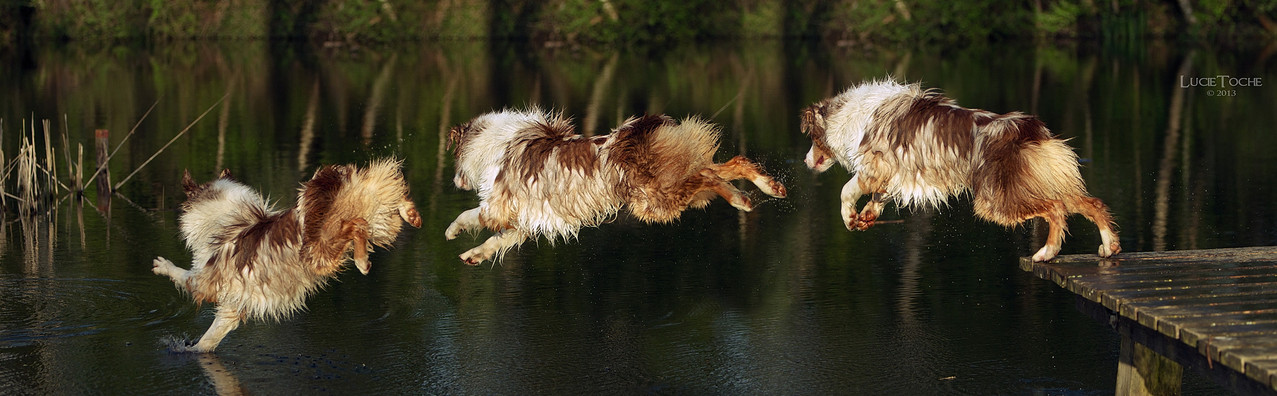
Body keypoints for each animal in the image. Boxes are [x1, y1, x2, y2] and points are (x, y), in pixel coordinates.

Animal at [149, 157, 418, 352]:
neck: (227, 220)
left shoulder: (206, 281)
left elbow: (183, 274)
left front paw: (162, 265)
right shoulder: (233, 305)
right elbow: (210, 338)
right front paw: (193, 351)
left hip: (320, 250)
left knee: (356, 225)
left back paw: (362, 260)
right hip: (381, 219)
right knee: (389, 191)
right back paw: (412, 215)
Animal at [446, 106, 786, 264]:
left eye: (454, 158)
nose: (453, 180)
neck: (491, 143)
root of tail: (646, 128)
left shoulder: (498, 207)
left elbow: (469, 215)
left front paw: (452, 231)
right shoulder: (523, 221)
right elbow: (496, 242)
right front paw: (474, 255)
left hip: (655, 200)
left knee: (710, 176)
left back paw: (742, 198)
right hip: (679, 183)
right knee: (730, 164)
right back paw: (767, 187)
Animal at [801, 78, 1123, 263]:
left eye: (812, 138)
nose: (805, 161)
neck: (847, 113)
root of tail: (1027, 129)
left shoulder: (875, 165)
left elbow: (846, 191)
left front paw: (849, 217)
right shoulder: (895, 173)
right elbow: (879, 197)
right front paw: (867, 215)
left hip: (996, 200)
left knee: (1056, 209)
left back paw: (1047, 252)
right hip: (1045, 181)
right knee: (1092, 204)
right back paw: (1109, 247)